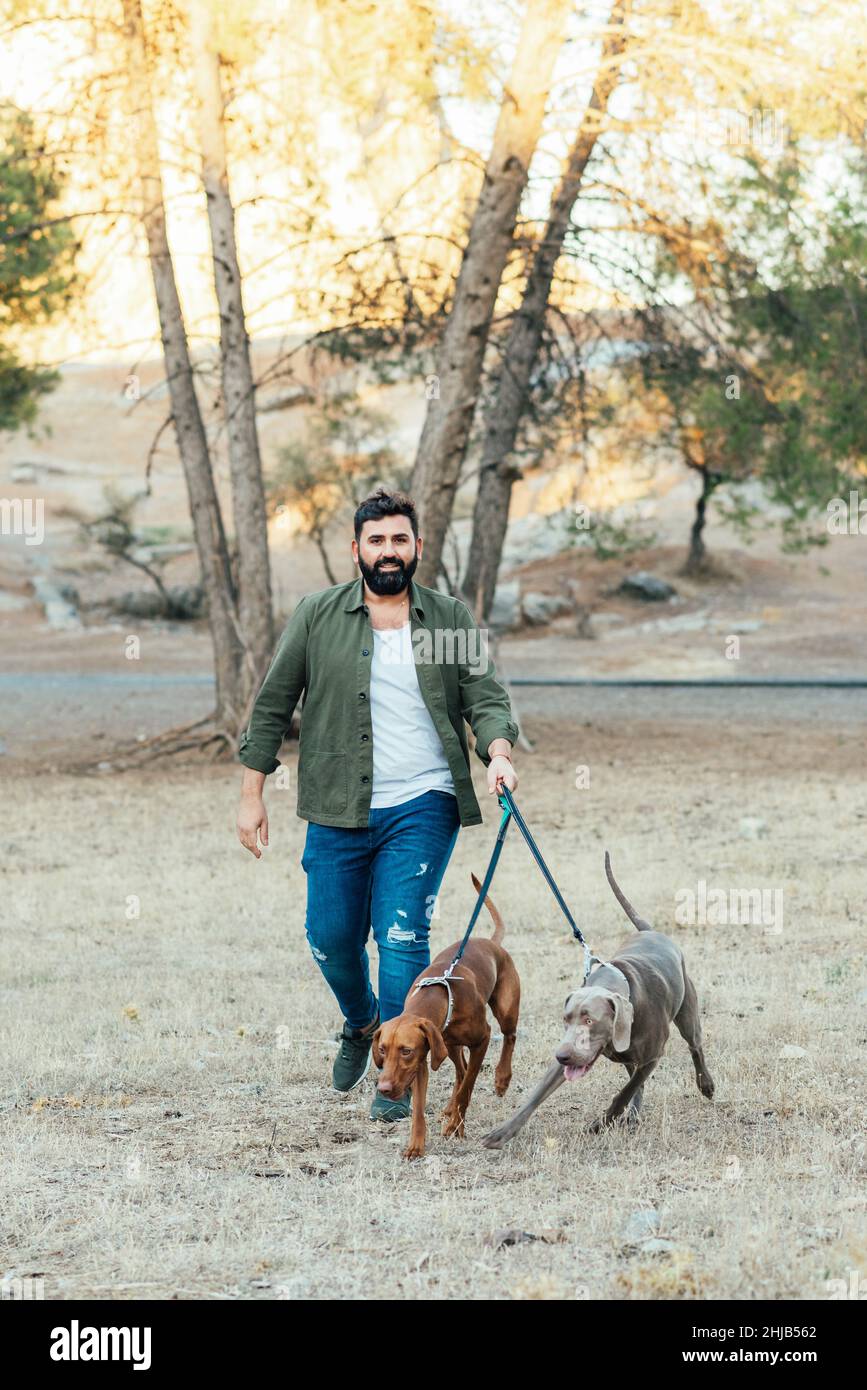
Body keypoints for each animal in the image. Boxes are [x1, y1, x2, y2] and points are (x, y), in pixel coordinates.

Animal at [369, 878, 516, 1162]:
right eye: (382, 1049)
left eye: (405, 1050)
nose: (384, 1089)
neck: (440, 996)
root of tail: (491, 942)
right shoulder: (423, 1059)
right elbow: (419, 1109)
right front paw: (416, 1146)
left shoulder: (481, 1039)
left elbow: (468, 1088)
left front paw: (455, 1126)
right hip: (448, 1045)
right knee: (461, 1069)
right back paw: (449, 1107)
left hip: (505, 1010)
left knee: (508, 1037)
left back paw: (502, 1079)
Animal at [480, 856, 711, 1139]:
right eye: (566, 1020)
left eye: (590, 1020)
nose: (561, 1056)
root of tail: (651, 931)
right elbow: (537, 1095)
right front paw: (504, 1131)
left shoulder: (653, 1054)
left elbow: (624, 1092)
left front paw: (603, 1121)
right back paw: (634, 1114)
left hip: (687, 1013)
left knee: (694, 1046)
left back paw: (706, 1084)